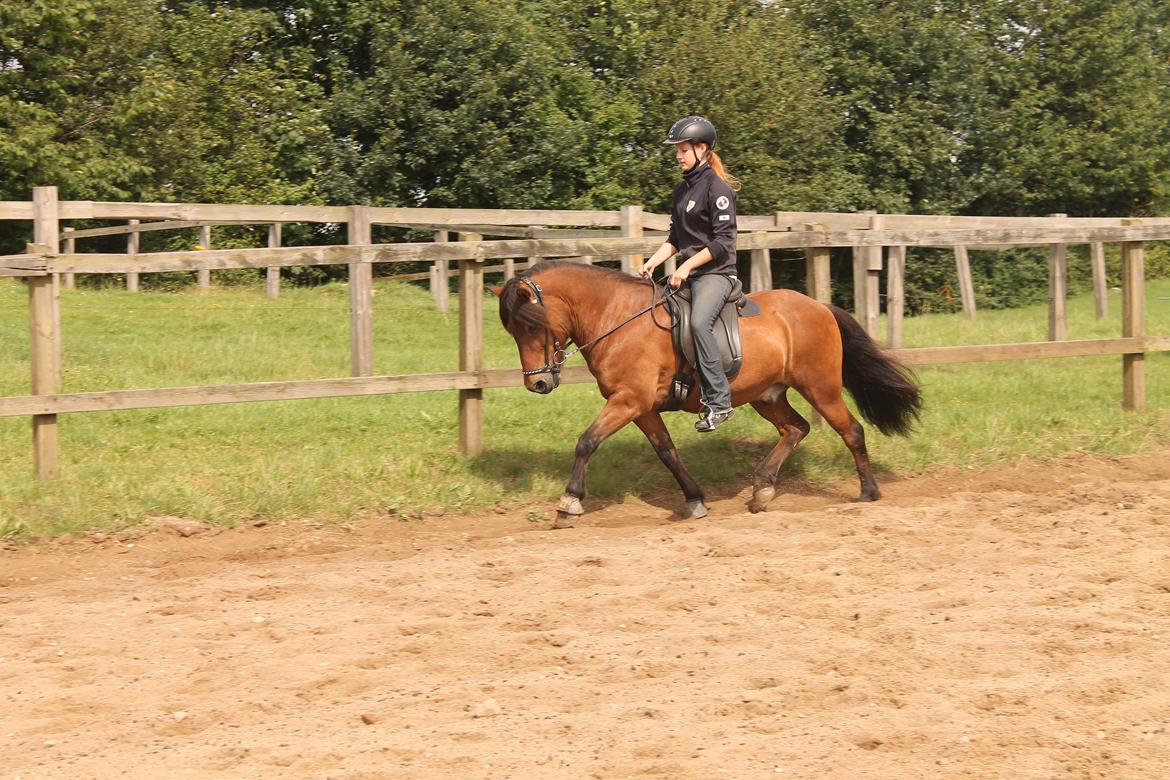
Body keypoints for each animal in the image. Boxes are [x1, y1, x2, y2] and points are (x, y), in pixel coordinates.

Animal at [496, 259, 921, 528]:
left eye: (531, 326)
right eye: (513, 330)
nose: (537, 384)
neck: (617, 319)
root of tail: (819, 306)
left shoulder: (628, 401)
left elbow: (586, 442)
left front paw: (569, 504)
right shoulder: (641, 408)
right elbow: (667, 452)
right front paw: (695, 500)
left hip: (821, 388)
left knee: (851, 431)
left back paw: (867, 492)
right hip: (767, 395)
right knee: (796, 429)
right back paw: (763, 489)